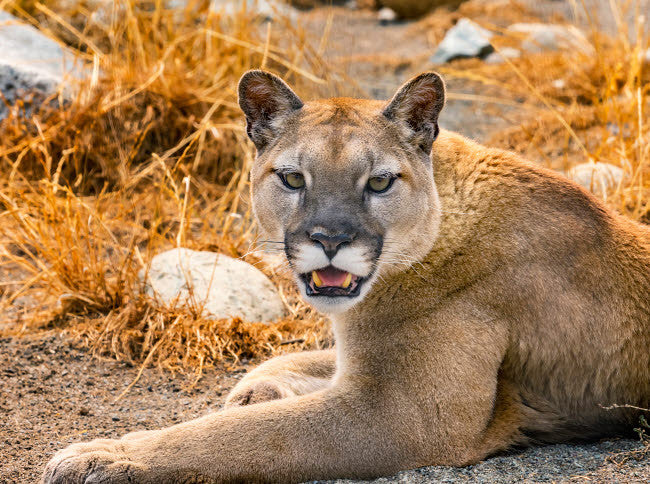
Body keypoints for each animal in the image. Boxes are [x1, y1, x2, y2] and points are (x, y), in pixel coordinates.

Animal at [43, 70, 650, 483]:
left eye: (379, 182)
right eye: (293, 178)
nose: (330, 240)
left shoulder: (404, 415)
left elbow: (243, 435)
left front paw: (105, 455)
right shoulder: (363, 365)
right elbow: (290, 364)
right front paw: (256, 390)